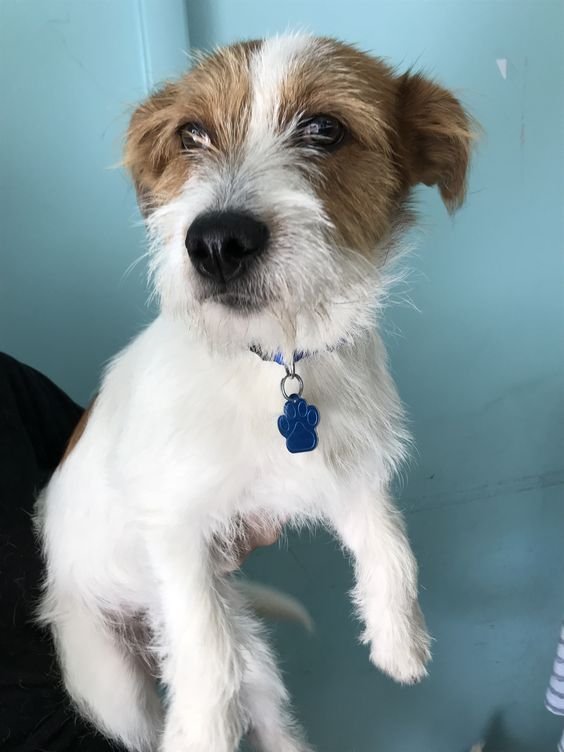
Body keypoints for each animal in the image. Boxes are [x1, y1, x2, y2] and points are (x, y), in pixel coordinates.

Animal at [36, 32, 472, 748]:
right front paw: (199, 734)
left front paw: (399, 642)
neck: (274, 358)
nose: (215, 242)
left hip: (252, 646)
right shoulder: (176, 526)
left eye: (325, 129)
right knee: (177, 690)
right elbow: (206, 658)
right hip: (109, 681)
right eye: (191, 134)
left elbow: (391, 546)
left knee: (262, 700)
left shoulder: (350, 471)